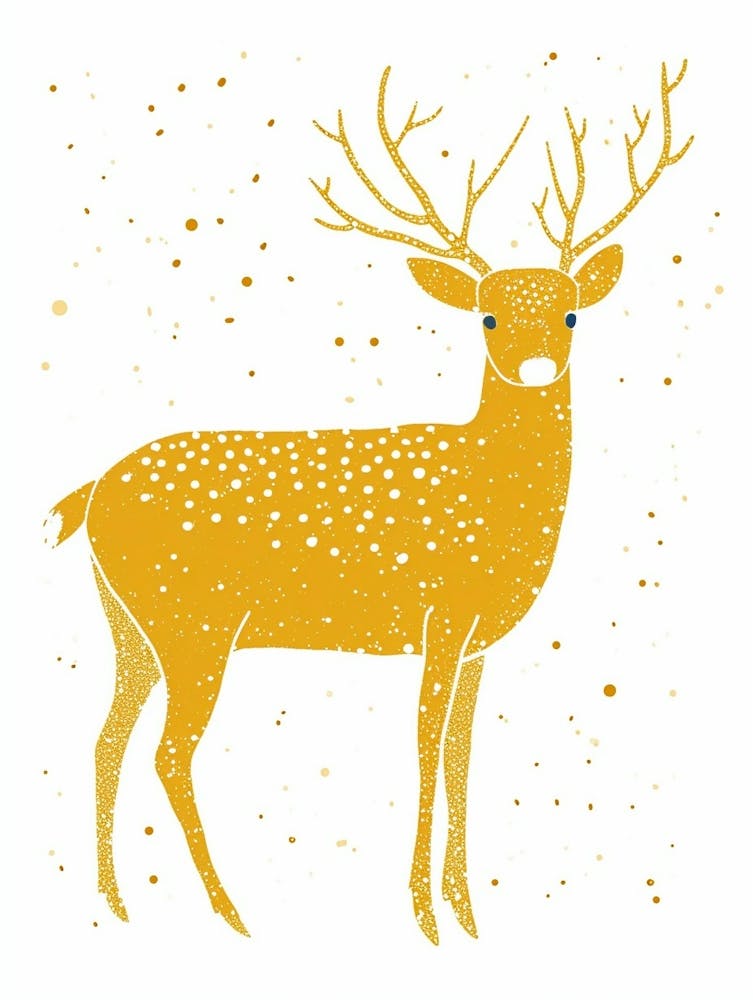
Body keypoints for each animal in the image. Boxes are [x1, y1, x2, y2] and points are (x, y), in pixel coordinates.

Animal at [45, 62, 692, 945]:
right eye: (488, 315)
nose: (533, 369)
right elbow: (422, 746)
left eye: (568, 312)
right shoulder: (442, 613)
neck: (495, 498)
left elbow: (460, 757)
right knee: (168, 751)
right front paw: (423, 916)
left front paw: (468, 914)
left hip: (129, 623)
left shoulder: (478, 643)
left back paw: (115, 904)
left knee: (106, 738)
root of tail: (89, 493)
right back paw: (231, 913)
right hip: (193, 622)